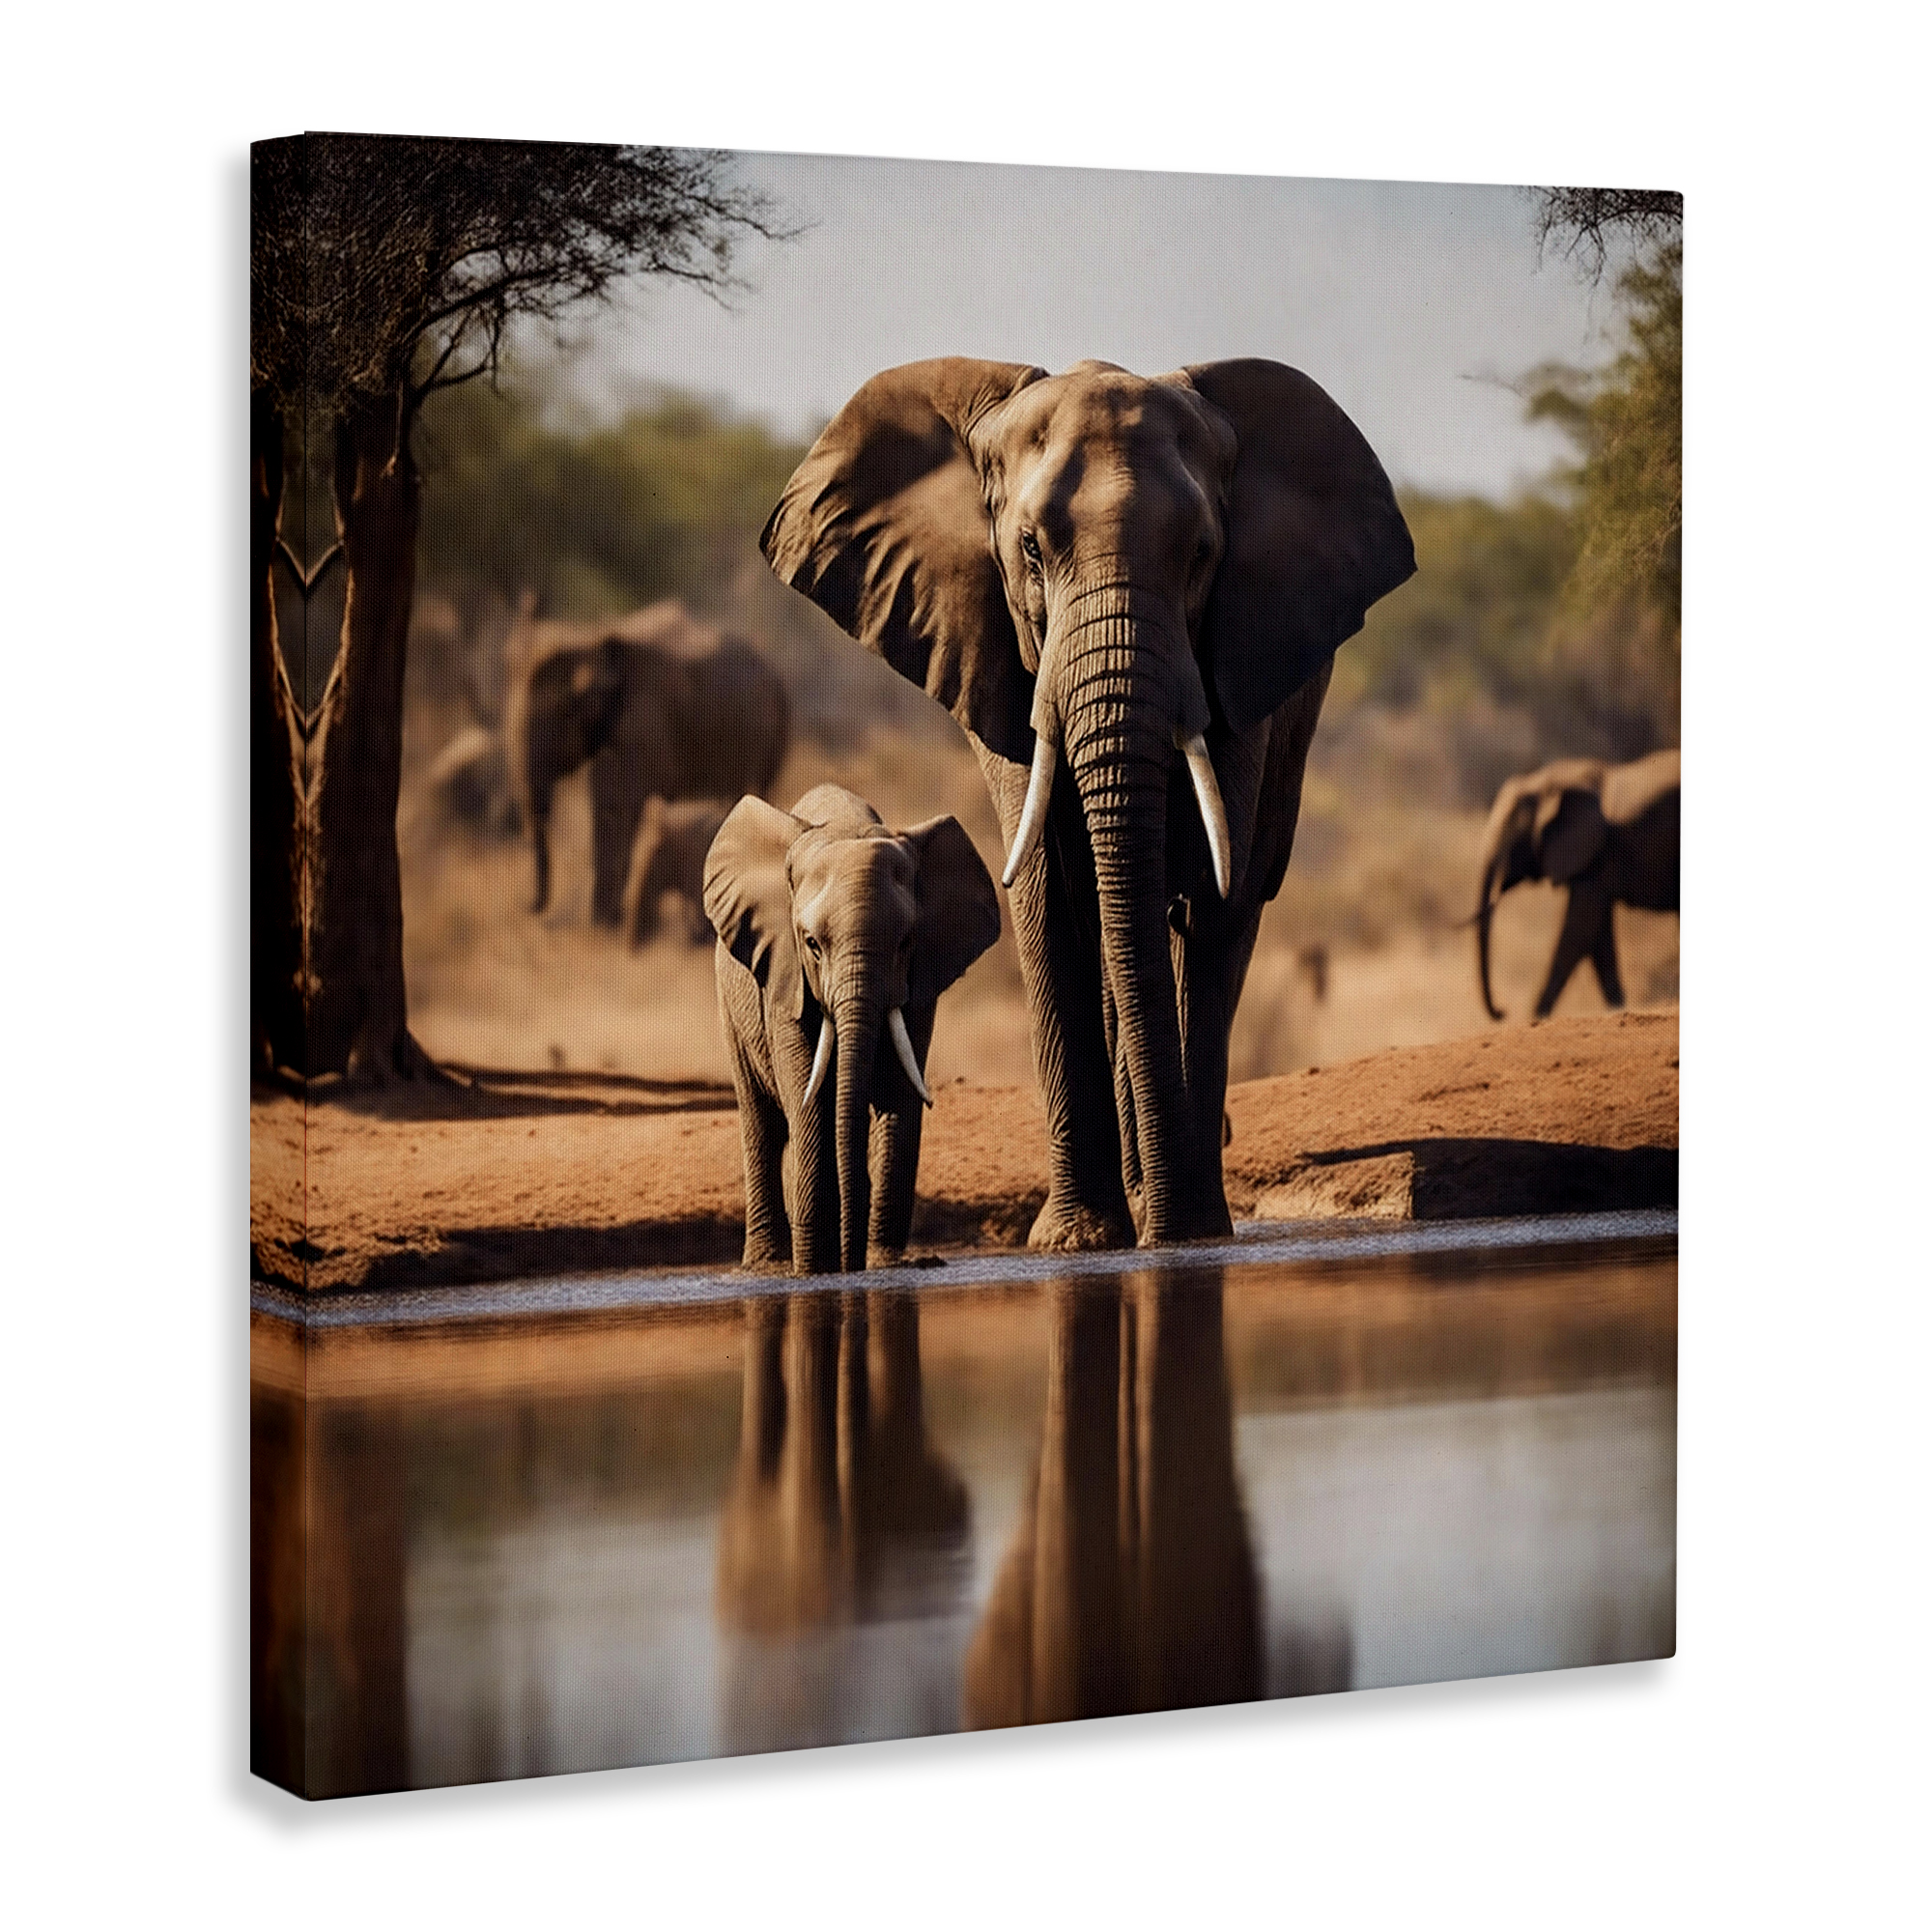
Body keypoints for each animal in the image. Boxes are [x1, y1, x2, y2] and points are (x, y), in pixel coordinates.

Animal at [504, 601, 791, 925]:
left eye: (565, 710)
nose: (526, 908)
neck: (591, 636)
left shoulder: (644, 724)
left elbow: (618, 805)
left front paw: (604, 923)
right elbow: (604, 806)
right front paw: (605, 921)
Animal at [705, 782, 1002, 1274]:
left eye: (906, 943)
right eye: (811, 944)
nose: (850, 1262)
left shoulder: (920, 982)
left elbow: (899, 1092)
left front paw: (885, 1265)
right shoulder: (784, 973)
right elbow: (808, 1094)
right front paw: (814, 1269)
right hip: (732, 1005)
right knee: (762, 1124)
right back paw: (769, 1266)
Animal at [762, 357, 1414, 1251]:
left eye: (1202, 554)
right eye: (1031, 550)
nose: (1165, 1230)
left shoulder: (1243, 657)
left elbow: (1211, 895)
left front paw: (1190, 1233)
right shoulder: (999, 661)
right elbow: (1047, 888)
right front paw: (1078, 1240)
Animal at [1473, 747, 1680, 1020]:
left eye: (1512, 840)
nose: (1503, 1011)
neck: (1549, 778)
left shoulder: (1599, 851)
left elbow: (1580, 927)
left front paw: (1536, 1018)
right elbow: (1598, 935)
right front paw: (1618, 1009)